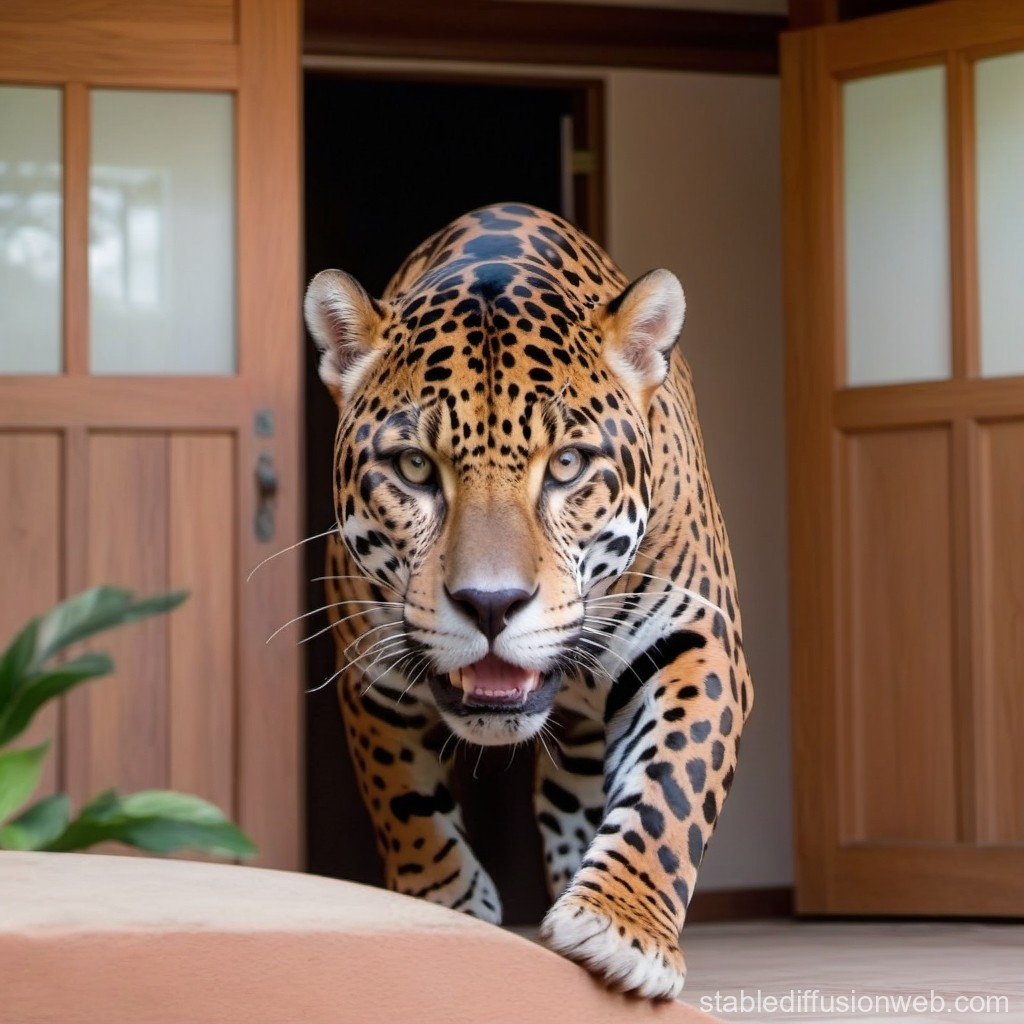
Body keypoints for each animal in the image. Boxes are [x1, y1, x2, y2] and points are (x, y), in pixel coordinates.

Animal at [304, 202, 752, 1000]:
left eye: (568, 465)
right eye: (414, 467)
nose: (490, 604)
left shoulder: (698, 638)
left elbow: (672, 782)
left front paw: (620, 927)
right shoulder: (373, 672)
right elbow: (406, 804)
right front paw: (444, 907)